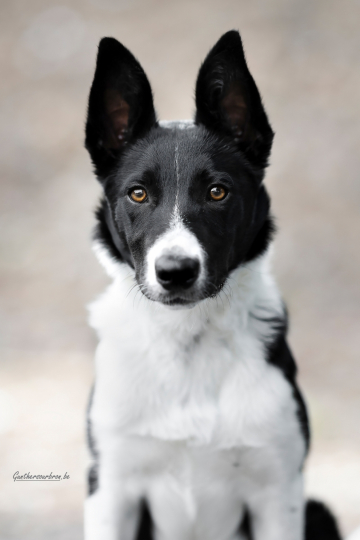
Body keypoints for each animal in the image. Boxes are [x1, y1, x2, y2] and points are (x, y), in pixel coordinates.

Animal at [83, 30, 342, 540]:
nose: (176, 271)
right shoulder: (111, 488)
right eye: (137, 193)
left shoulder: (277, 490)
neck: (188, 343)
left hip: (318, 511)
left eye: (217, 191)